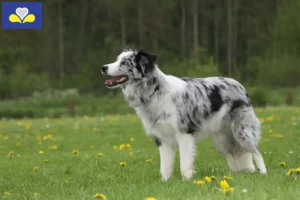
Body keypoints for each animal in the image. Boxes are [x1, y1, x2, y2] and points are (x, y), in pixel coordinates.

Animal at [102, 48, 266, 181]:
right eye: (117, 59)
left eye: (124, 62)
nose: (103, 67)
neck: (154, 90)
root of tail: (238, 84)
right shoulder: (162, 138)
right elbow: (165, 166)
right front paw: (165, 182)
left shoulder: (184, 133)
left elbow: (184, 163)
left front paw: (187, 180)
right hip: (222, 140)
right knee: (236, 156)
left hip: (242, 132)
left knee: (256, 152)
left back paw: (263, 174)